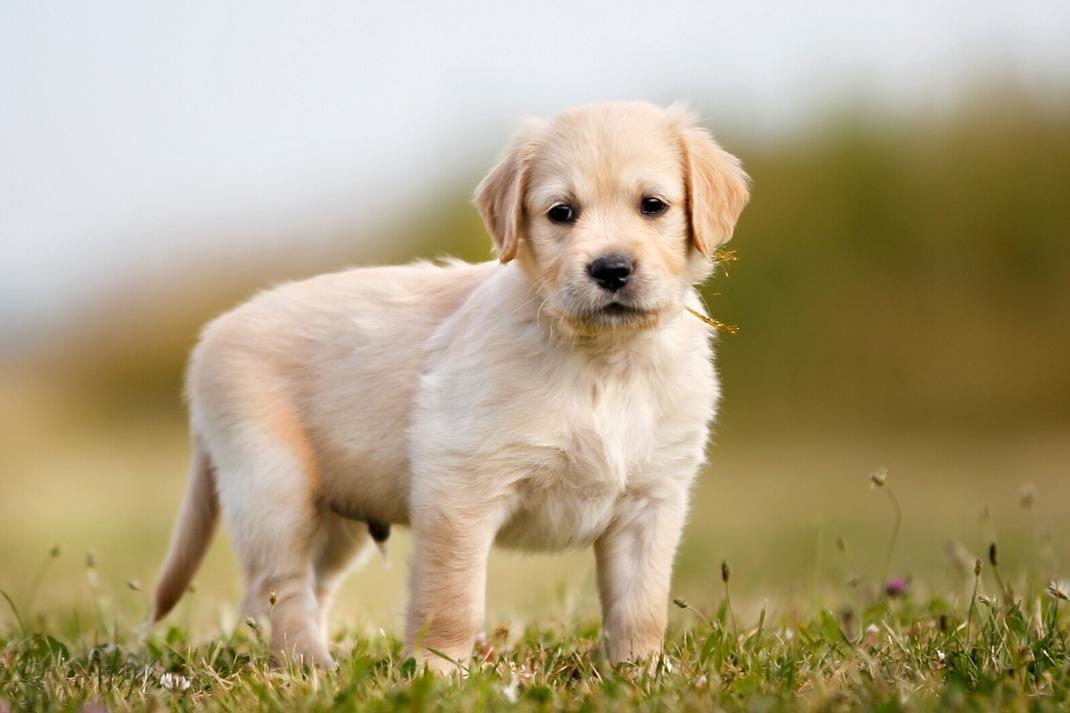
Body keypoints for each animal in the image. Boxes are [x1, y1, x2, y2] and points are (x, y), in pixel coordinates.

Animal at [153, 98, 753, 668]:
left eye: (653, 205)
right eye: (561, 213)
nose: (610, 269)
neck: (603, 359)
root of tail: (211, 336)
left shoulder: (652, 503)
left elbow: (640, 607)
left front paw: (639, 672)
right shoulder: (460, 486)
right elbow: (452, 599)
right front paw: (439, 672)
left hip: (337, 516)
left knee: (312, 587)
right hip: (273, 490)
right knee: (277, 591)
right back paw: (311, 667)